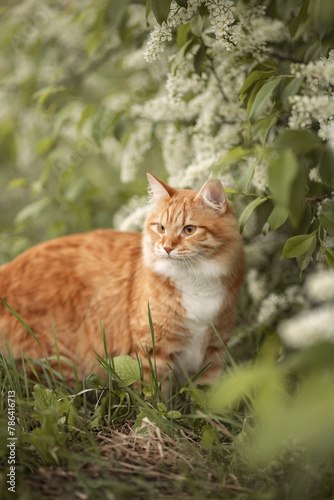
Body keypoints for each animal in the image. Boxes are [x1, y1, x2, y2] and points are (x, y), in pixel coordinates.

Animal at [0, 175, 245, 386]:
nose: (166, 248)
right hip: (60, 361)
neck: (194, 280)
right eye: (161, 228)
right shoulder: (152, 350)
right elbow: (156, 397)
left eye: (189, 230)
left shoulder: (215, 350)